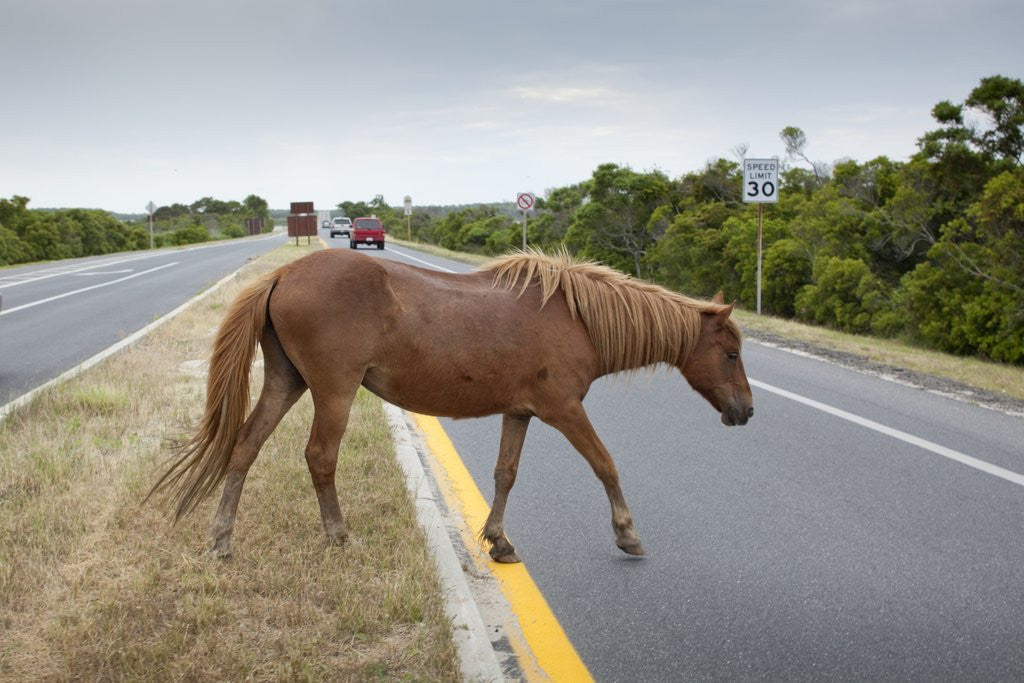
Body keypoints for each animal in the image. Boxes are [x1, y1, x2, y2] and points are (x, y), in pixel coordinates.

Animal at [149, 248, 753, 561]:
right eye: (730, 353)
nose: (746, 411)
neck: (576, 318)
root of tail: (283, 272)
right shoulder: (563, 411)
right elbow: (606, 464)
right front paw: (627, 534)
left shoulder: (520, 412)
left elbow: (506, 473)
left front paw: (498, 539)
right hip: (333, 392)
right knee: (319, 457)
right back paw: (337, 535)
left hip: (285, 382)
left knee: (244, 448)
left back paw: (222, 541)